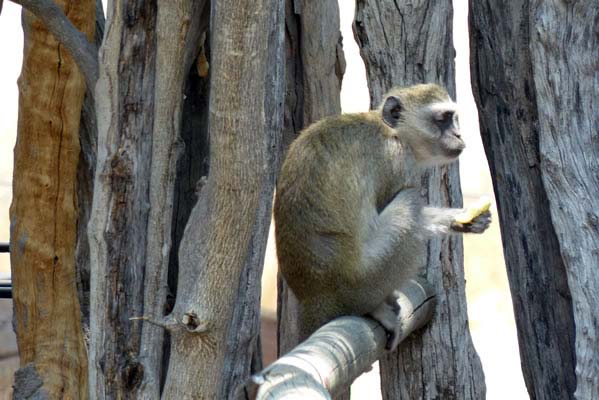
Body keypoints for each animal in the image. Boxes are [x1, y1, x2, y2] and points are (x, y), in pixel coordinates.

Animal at [276, 83, 492, 348]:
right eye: (442, 119)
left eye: (454, 119)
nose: (459, 135)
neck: (393, 132)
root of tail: (314, 296)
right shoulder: (395, 162)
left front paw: (463, 219)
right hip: (364, 280)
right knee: (411, 201)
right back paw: (375, 307)